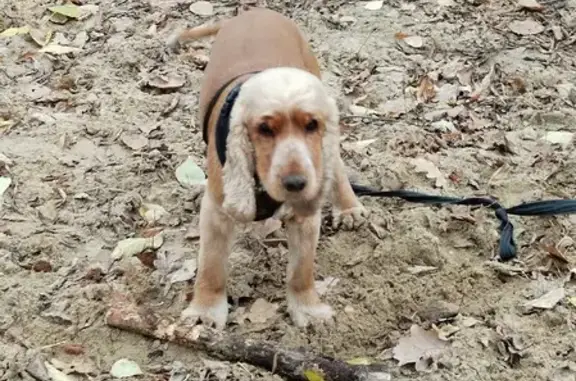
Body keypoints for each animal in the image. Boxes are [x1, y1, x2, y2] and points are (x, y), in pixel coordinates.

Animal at [173, 8, 366, 330]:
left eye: (311, 125)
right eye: (264, 129)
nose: (296, 183)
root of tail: (254, 10)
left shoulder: (305, 215)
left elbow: (302, 270)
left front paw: (308, 309)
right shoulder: (216, 210)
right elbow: (211, 266)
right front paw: (205, 311)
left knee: (337, 164)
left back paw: (349, 208)